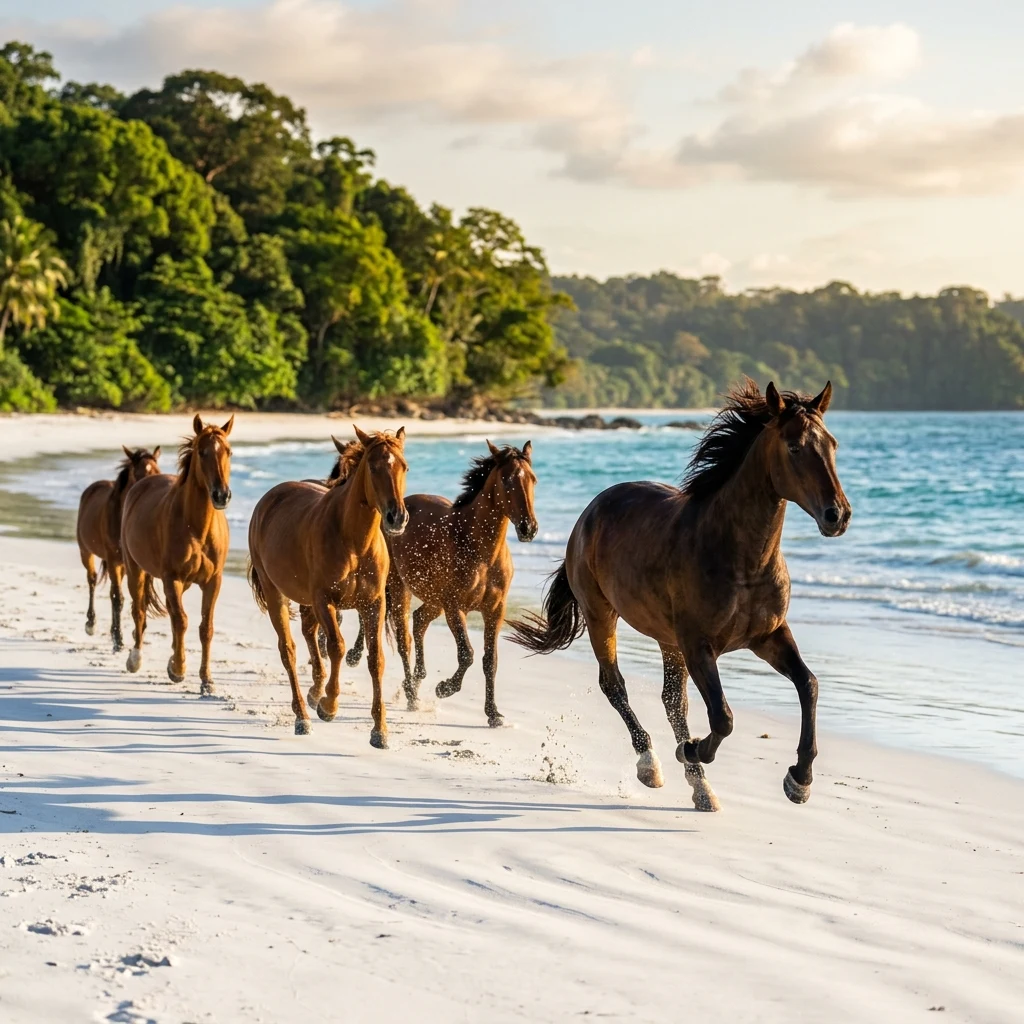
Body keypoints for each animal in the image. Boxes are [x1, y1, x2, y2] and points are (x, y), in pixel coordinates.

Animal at [76, 446, 161, 651]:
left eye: (158, 471)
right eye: (138, 474)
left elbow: (139, 597)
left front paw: (136, 633)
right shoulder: (114, 561)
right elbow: (118, 598)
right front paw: (118, 640)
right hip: (86, 552)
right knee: (92, 580)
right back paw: (91, 624)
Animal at [121, 415, 234, 696]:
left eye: (228, 451)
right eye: (202, 452)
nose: (221, 495)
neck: (197, 527)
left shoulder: (213, 581)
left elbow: (205, 628)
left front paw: (206, 680)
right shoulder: (171, 578)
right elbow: (182, 621)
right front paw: (179, 670)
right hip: (136, 570)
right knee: (140, 611)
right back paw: (136, 659)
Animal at [246, 426, 409, 745]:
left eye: (404, 466)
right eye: (373, 467)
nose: (397, 517)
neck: (354, 541)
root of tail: (268, 499)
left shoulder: (374, 603)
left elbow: (376, 659)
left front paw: (379, 730)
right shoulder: (325, 600)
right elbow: (336, 647)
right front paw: (328, 706)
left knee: (308, 635)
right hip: (276, 594)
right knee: (289, 650)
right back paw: (302, 717)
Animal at [347, 440, 538, 727]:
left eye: (533, 479)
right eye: (506, 480)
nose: (528, 528)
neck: (479, 549)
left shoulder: (495, 609)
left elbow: (490, 661)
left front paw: (493, 714)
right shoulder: (455, 607)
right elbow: (467, 654)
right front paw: (444, 688)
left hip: (434, 599)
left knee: (419, 621)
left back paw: (416, 679)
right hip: (401, 590)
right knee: (403, 638)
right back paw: (409, 693)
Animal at [509, 380, 850, 811]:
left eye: (832, 444)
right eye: (793, 447)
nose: (837, 515)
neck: (742, 559)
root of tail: (591, 511)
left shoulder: (769, 636)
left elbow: (809, 685)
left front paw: (799, 781)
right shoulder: (698, 644)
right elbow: (723, 717)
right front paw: (690, 749)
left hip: (667, 639)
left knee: (673, 701)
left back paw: (701, 788)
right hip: (603, 615)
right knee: (615, 685)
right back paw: (652, 765)